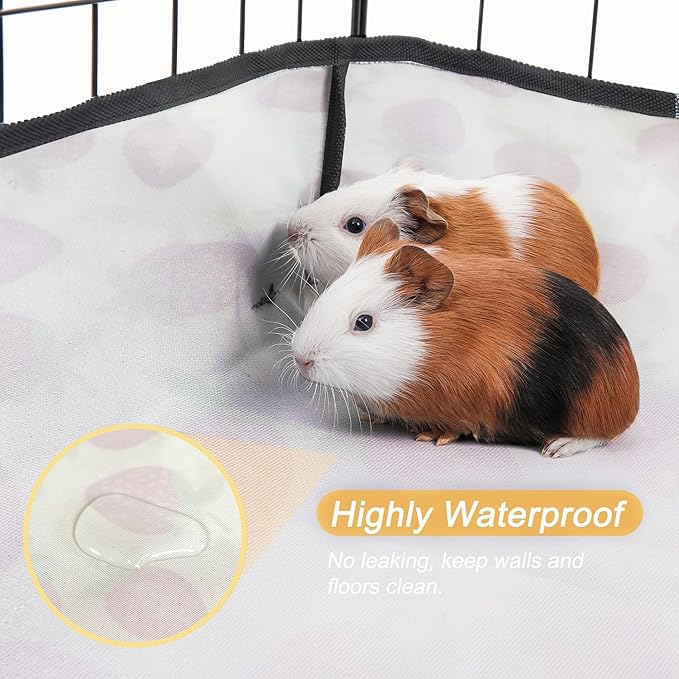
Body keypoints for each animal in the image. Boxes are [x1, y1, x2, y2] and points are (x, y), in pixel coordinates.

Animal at [290, 219, 638, 457]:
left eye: (364, 322)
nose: (301, 359)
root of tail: (630, 396)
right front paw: (371, 415)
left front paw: (432, 437)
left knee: (600, 436)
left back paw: (556, 448)